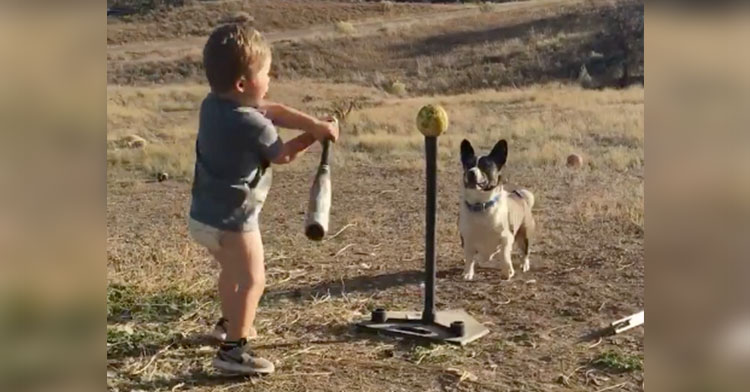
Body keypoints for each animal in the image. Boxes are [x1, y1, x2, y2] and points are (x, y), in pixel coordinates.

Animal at [458, 139, 536, 280]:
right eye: (468, 165)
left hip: (524, 235)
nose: (471, 171)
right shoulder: (468, 240)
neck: (481, 204)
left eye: (485, 166)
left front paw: (507, 272)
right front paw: (468, 273)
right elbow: (469, 258)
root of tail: (520, 196)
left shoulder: (506, 238)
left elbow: (505, 256)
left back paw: (524, 264)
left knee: (525, 251)